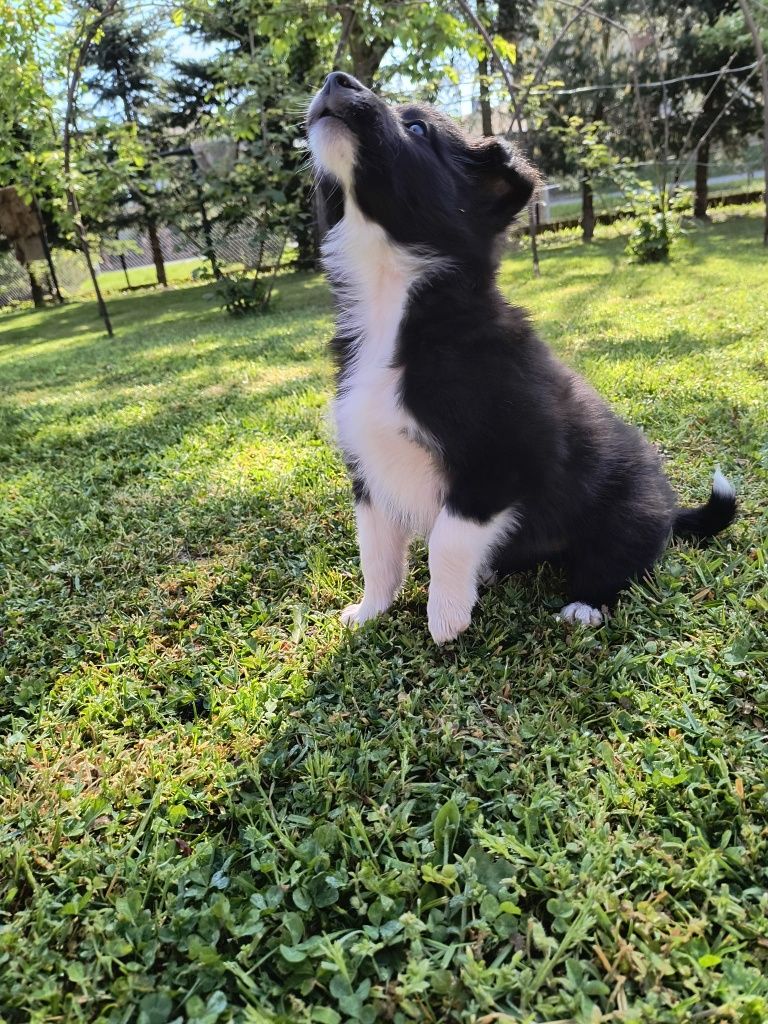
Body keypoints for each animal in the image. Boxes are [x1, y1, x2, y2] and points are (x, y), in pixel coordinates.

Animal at [309, 72, 741, 643]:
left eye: (418, 127)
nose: (336, 79)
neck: (394, 302)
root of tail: (671, 512)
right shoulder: (369, 469)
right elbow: (376, 550)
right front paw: (370, 612)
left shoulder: (507, 457)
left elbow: (448, 535)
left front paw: (445, 615)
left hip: (627, 511)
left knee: (622, 560)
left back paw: (584, 604)